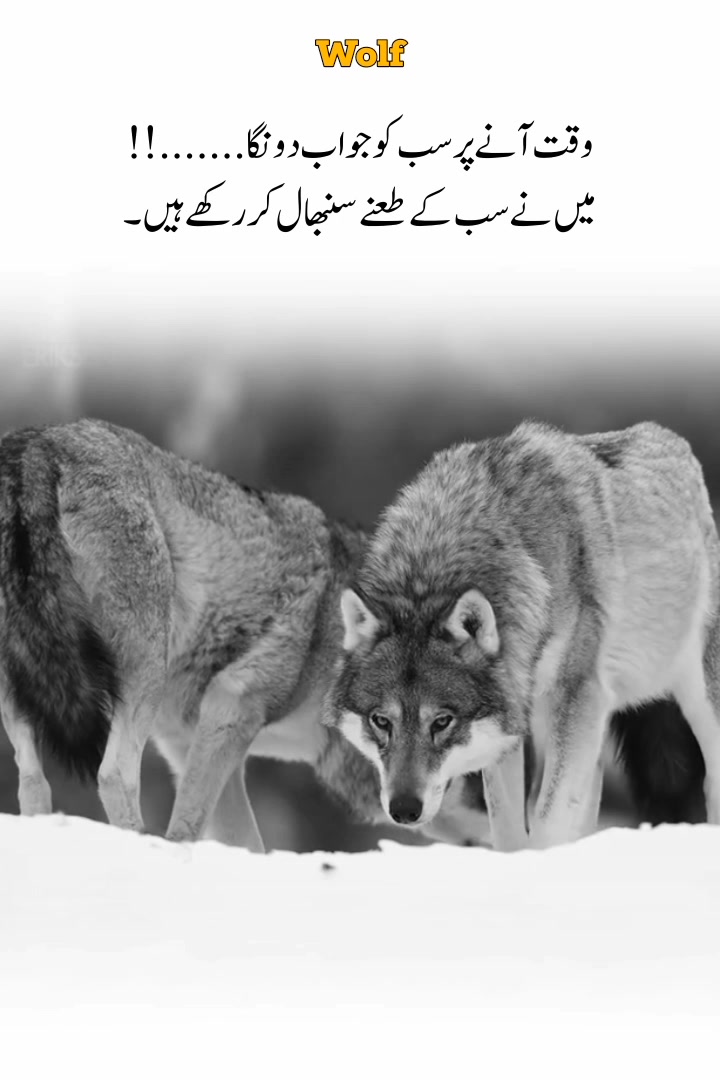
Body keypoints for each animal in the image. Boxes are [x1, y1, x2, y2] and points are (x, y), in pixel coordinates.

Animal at [327, 421, 720, 849]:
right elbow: (509, 827)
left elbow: (548, 822)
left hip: (692, 702)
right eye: (381, 721)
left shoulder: (576, 698)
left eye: (443, 721)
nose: (403, 810)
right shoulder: (511, 726)